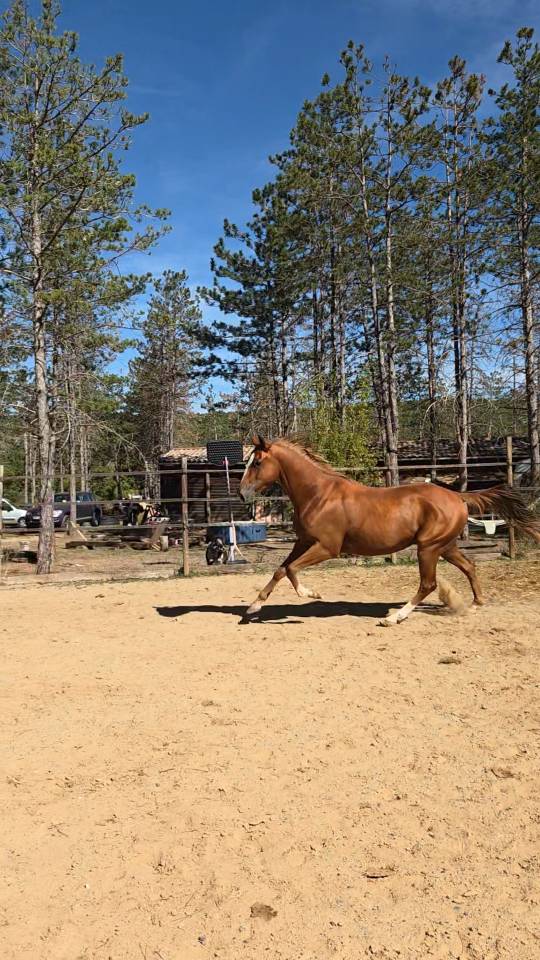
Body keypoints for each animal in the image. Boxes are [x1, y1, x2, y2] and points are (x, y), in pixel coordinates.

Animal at [238, 435, 540, 625]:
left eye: (256, 462)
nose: (242, 494)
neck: (318, 495)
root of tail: (458, 496)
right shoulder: (302, 542)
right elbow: (280, 570)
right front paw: (254, 606)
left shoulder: (327, 547)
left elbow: (291, 570)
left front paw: (311, 594)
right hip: (445, 546)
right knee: (469, 566)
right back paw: (475, 605)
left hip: (428, 548)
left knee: (428, 584)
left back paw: (394, 617)